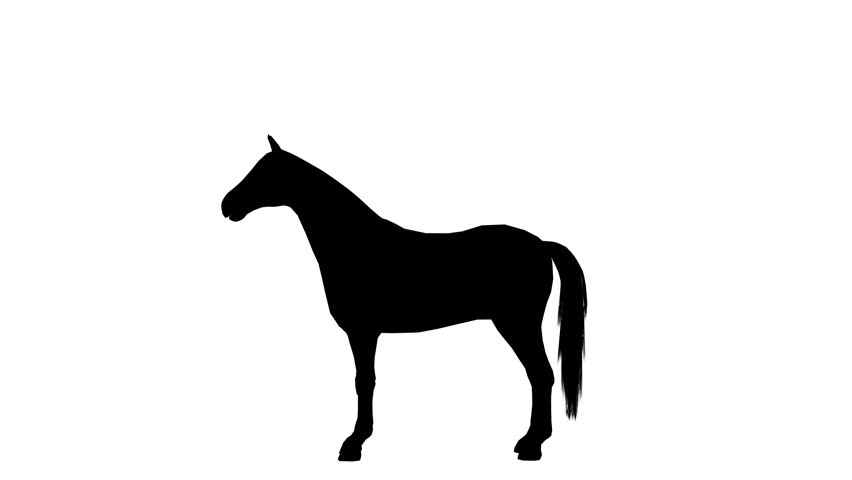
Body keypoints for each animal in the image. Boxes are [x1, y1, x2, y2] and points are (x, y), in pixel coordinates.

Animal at [221, 136, 587, 461]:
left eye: (265, 173)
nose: (227, 205)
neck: (356, 245)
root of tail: (541, 244)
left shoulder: (362, 332)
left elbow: (364, 382)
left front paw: (354, 444)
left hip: (518, 324)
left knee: (541, 375)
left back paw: (532, 446)